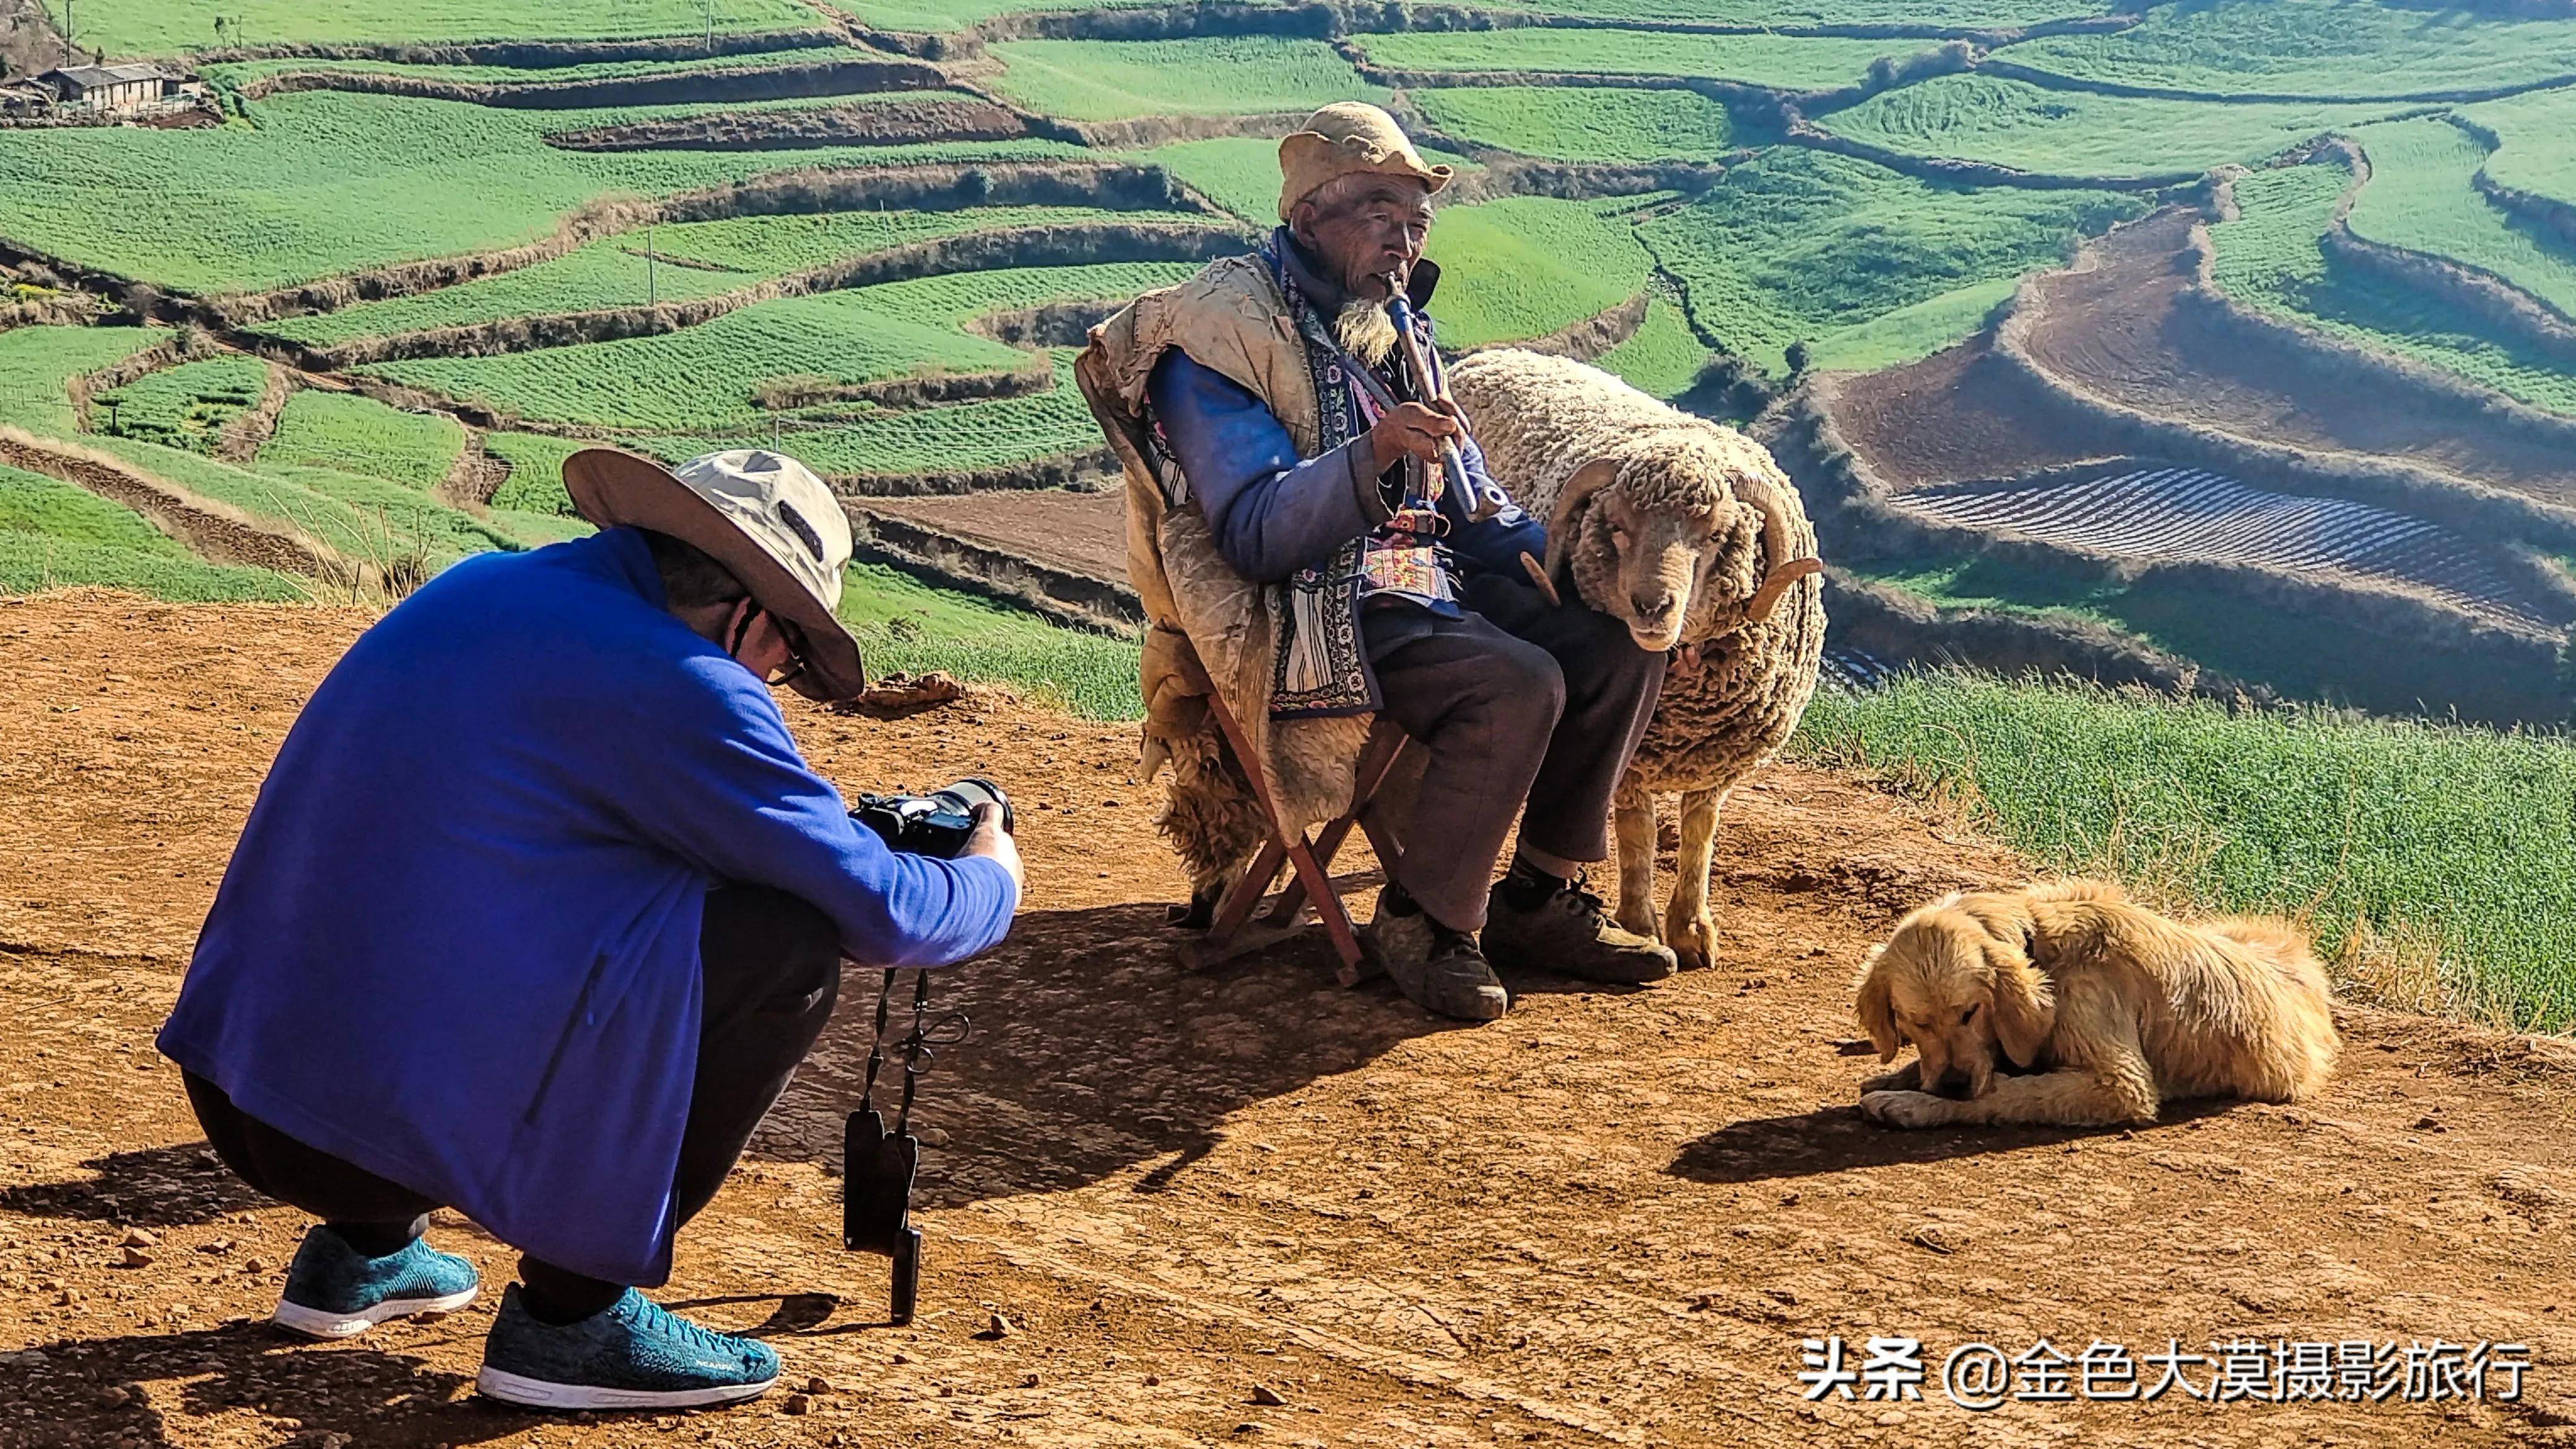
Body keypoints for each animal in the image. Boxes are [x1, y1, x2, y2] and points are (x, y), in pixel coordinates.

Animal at [1453, 342, 1834, 964]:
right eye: (1617, 527)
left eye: (1716, 535)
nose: (1652, 605)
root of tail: (1495, 354)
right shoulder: (1632, 759)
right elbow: (1637, 833)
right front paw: (1638, 924)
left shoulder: (1718, 763)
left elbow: (1700, 833)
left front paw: (1694, 928)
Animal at [1855, 876, 2339, 1124]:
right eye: (1916, 1022)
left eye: (1970, 1013)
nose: (1953, 1084)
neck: (2041, 944)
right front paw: (1901, 1076)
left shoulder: (2121, 1083)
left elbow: (2006, 1092)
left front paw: (1915, 1104)